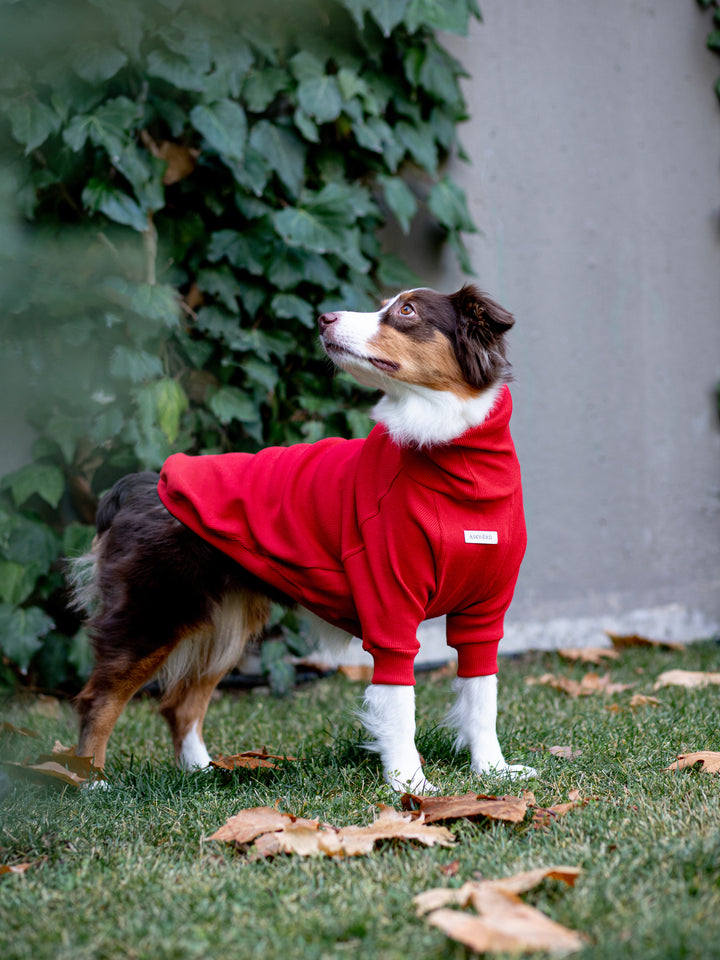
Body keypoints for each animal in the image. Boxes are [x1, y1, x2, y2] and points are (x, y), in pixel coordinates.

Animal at [71, 284, 536, 796]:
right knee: (97, 699)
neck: (453, 455)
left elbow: (482, 697)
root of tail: (139, 484)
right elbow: (399, 705)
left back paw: (202, 772)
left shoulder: (485, 611)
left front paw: (492, 770)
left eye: (406, 311)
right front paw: (408, 785)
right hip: (153, 614)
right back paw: (92, 784)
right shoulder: (388, 606)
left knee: (181, 704)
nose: (323, 318)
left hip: (224, 622)